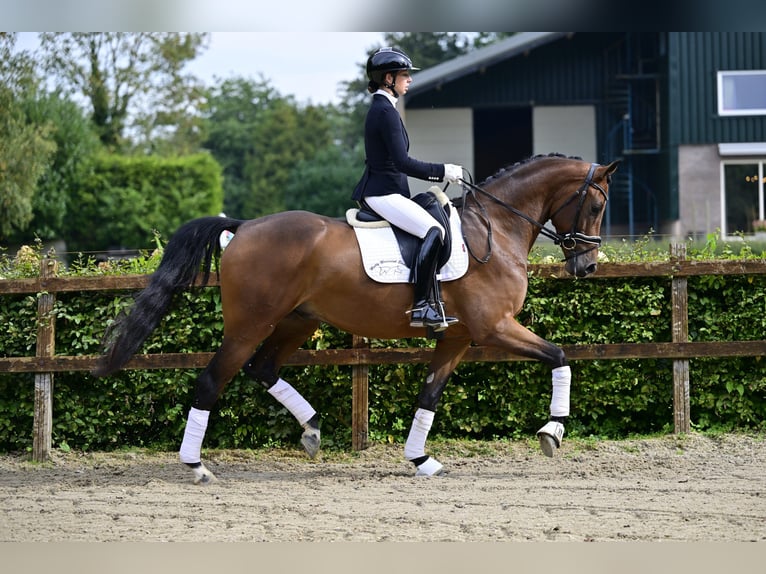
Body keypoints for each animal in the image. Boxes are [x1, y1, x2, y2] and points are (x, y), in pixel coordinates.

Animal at [93, 154, 620, 486]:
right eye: (596, 205)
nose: (587, 267)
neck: (495, 228)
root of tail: (242, 228)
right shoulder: (495, 327)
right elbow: (560, 355)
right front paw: (553, 432)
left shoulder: (459, 337)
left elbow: (429, 395)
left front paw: (421, 460)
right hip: (250, 326)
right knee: (211, 381)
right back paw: (197, 467)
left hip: (297, 322)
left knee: (264, 369)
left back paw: (311, 430)